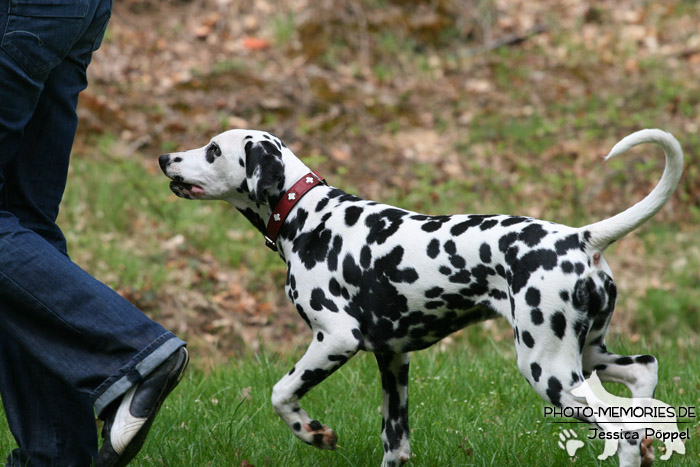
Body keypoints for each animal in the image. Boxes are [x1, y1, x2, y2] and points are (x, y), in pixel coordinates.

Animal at [159, 129, 684, 467]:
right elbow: (395, 445)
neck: (308, 216)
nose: (165, 158)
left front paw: (312, 432)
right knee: (644, 375)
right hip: (589, 356)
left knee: (623, 434)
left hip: (549, 371)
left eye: (212, 149)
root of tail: (580, 237)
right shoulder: (393, 362)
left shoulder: (335, 339)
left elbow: (280, 393)